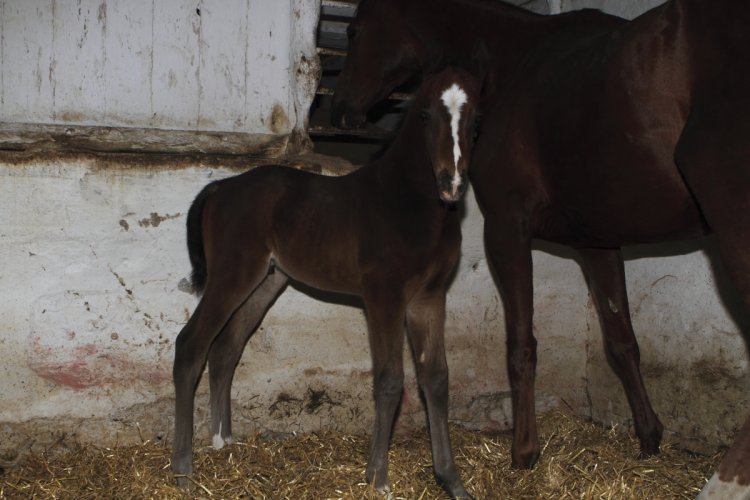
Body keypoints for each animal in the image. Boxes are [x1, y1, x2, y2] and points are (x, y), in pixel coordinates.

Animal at [173, 67, 482, 500]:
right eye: (424, 115)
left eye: (475, 121)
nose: (450, 184)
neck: (409, 205)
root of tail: (221, 187)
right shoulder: (384, 297)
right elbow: (390, 381)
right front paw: (378, 478)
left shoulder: (429, 298)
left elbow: (435, 379)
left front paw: (452, 481)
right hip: (232, 275)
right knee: (191, 346)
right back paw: (183, 469)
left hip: (265, 282)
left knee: (224, 351)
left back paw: (224, 442)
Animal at [334, 0, 750, 472]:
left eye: (353, 30)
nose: (340, 107)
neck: (509, 62)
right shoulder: (597, 242)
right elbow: (621, 341)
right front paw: (648, 435)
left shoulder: (506, 228)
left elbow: (521, 346)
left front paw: (524, 451)